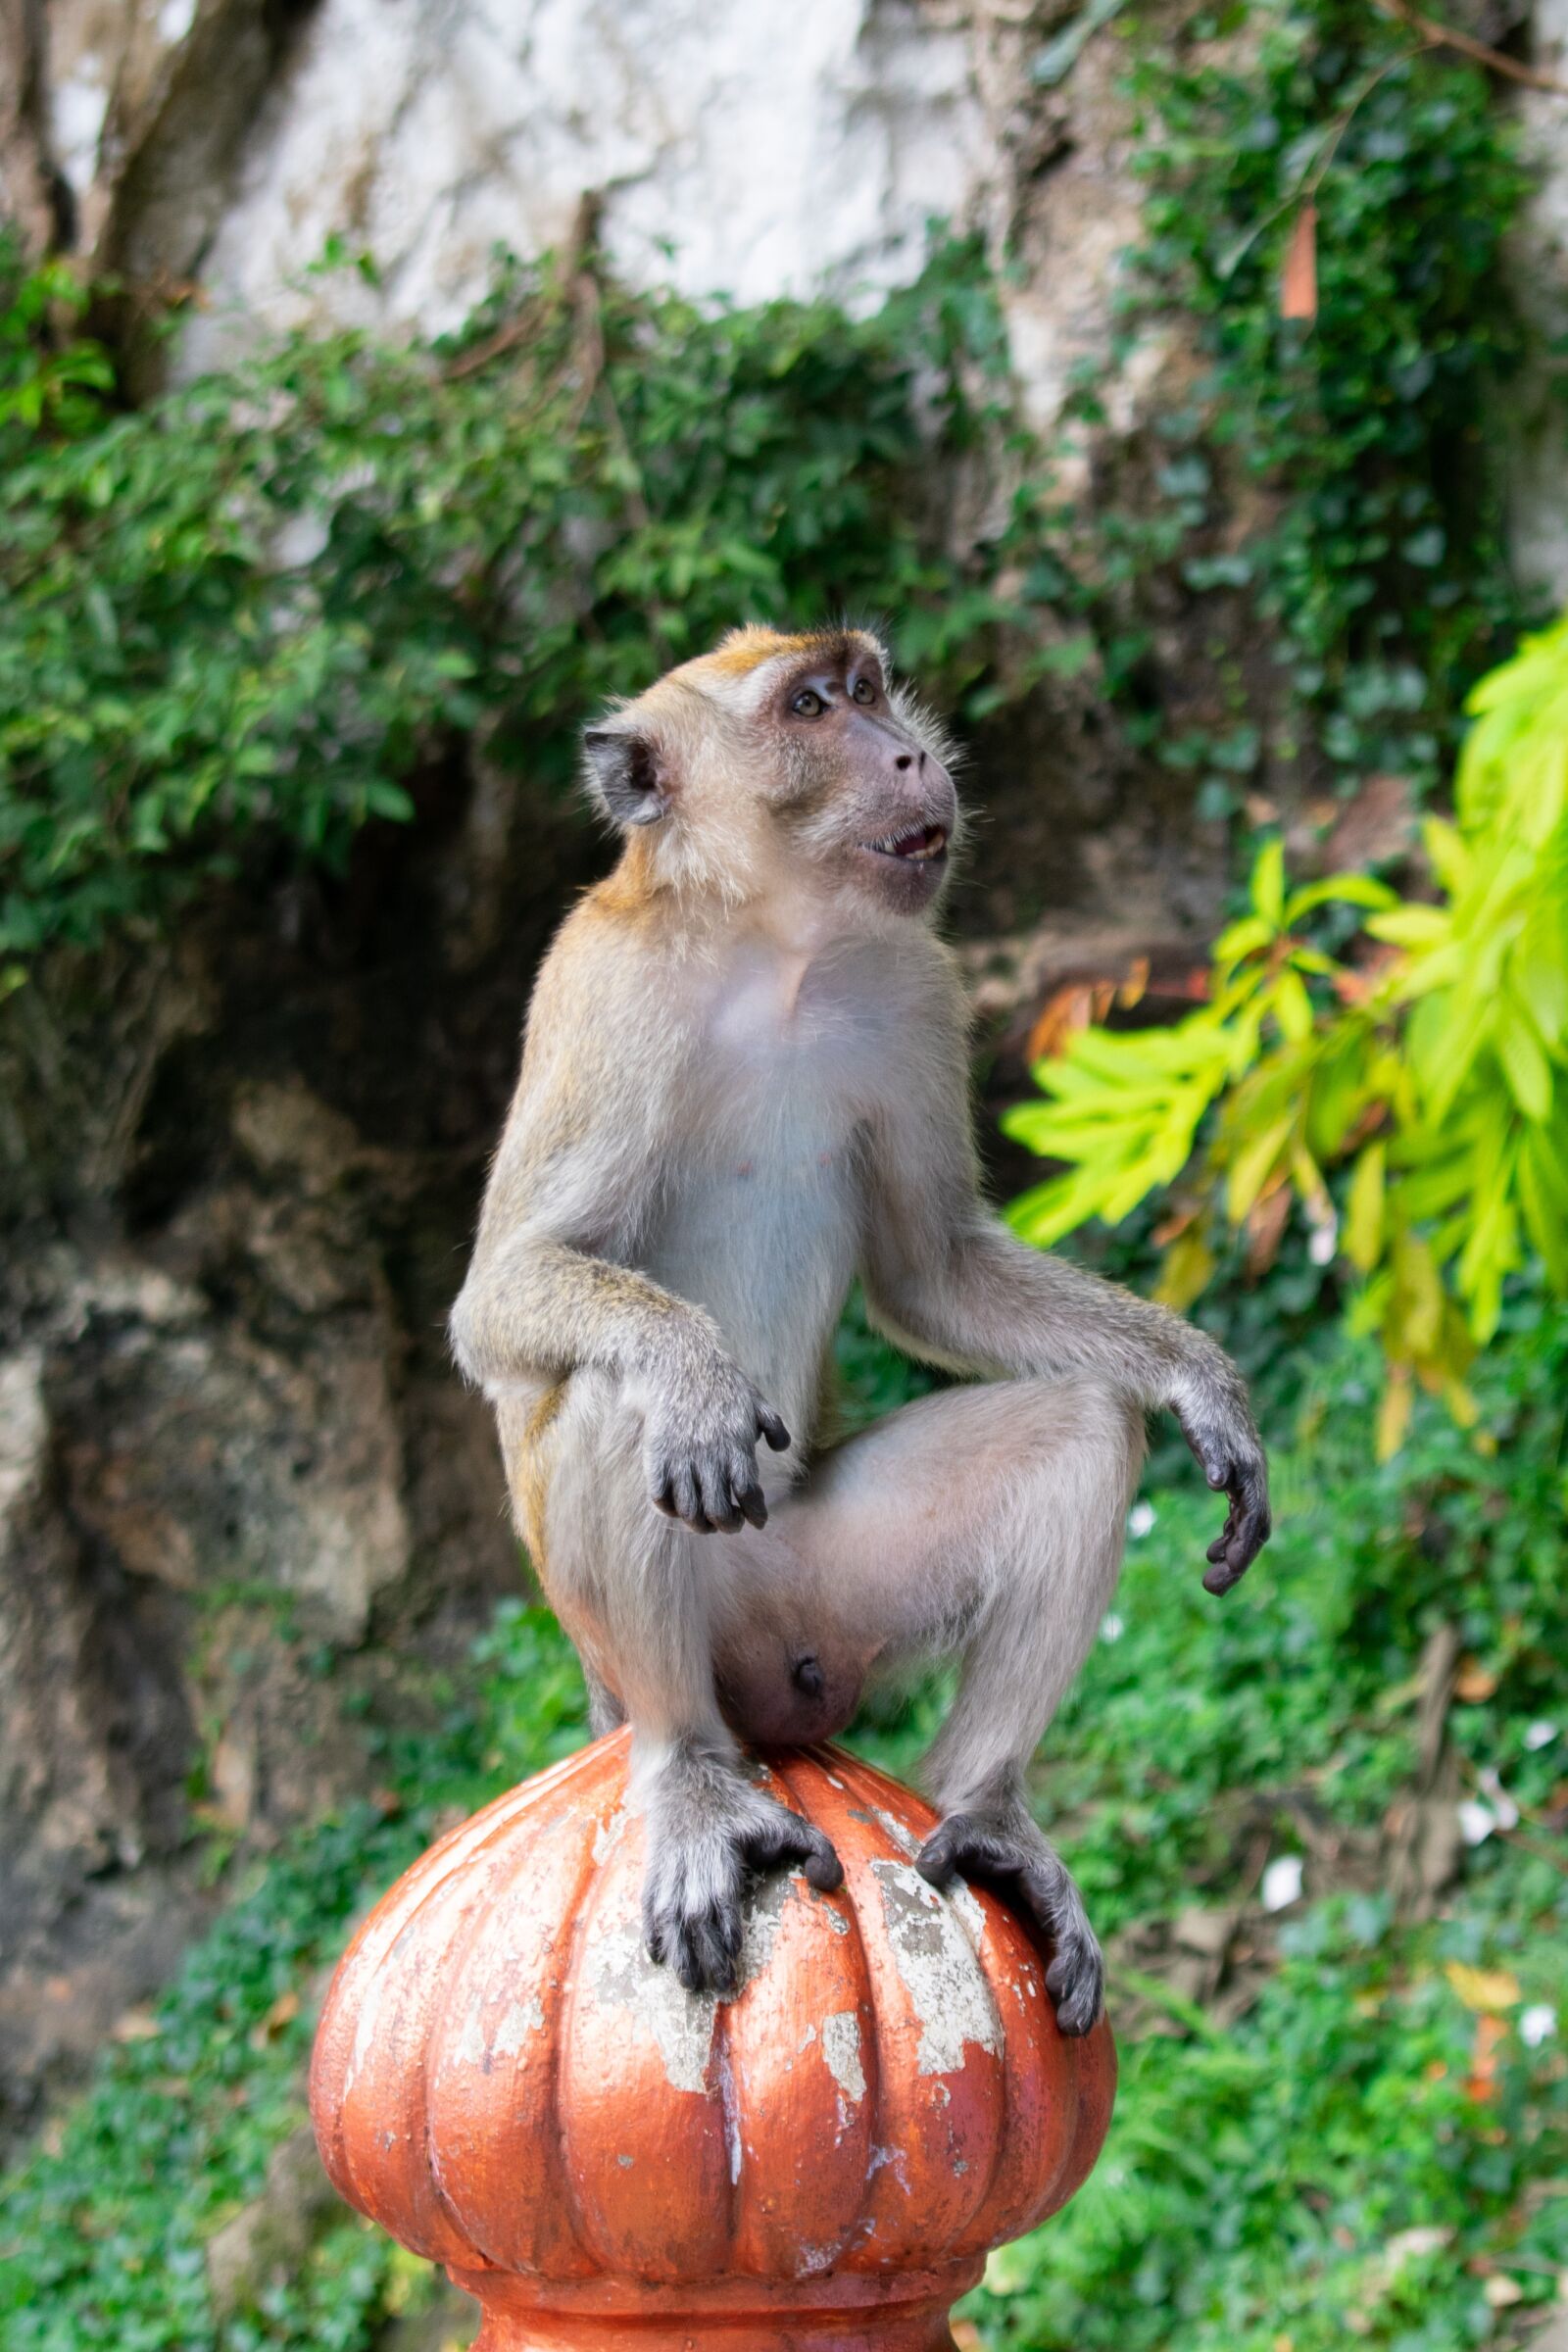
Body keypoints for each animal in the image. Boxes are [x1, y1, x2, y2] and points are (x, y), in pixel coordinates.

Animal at [449, 623, 1270, 2032]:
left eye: (870, 688)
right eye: (808, 706)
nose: (905, 754)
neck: (771, 951)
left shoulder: (914, 984)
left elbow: (933, 1270)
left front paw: (1194, 1376)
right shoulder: (606, 994)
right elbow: (501, 1293)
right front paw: (693, 1368)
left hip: (822, 1597)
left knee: (1075, 1424)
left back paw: (989, 1815)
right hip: (667, 1636)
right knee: (615, 1399)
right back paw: (690, 1777)